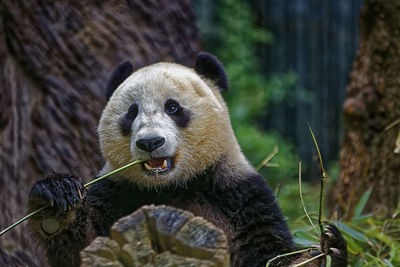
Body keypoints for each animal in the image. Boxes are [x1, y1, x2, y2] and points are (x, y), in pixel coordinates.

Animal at [28, 52, 346, 267]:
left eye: (173, 107)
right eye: (131, 112)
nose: (150, 142)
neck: (170, 186)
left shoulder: (239, 194)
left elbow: (268, 253)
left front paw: (327, 249)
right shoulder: (115, 191)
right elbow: (82, 250)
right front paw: (57, 201)